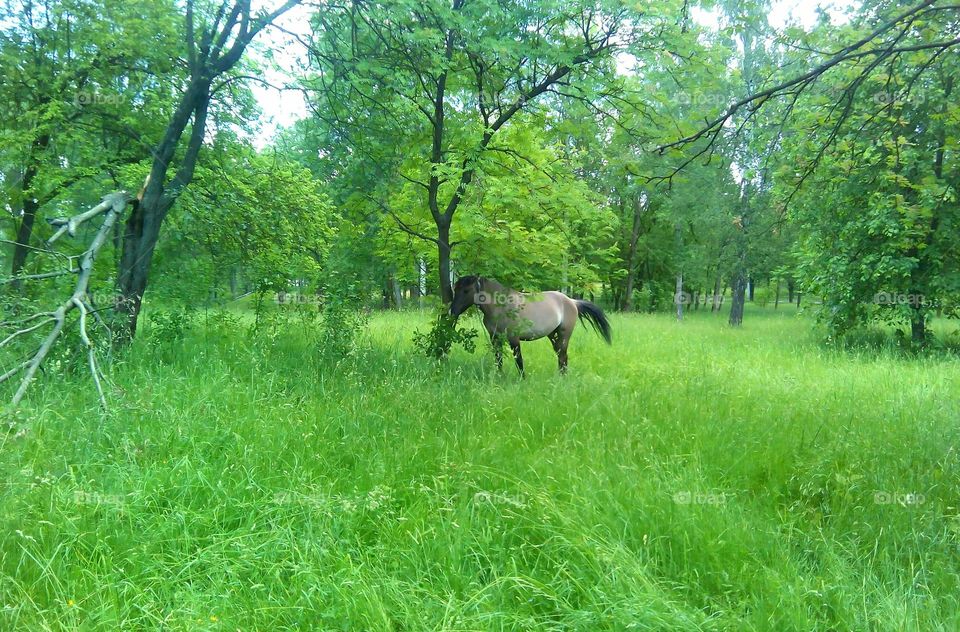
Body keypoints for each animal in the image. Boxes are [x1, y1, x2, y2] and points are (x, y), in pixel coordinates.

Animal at [448, 276, 612, 376]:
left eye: (466, 290)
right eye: (455, 289)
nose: (452, 311)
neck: (501, 307)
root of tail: (572, 301)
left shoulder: (514, 339)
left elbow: (519, 360)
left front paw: (522, 379)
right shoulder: (495, 338)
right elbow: (498, 359)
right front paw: (499, 375)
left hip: (564, 335)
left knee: (563, 356)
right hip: (553, 336)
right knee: (561, 357)